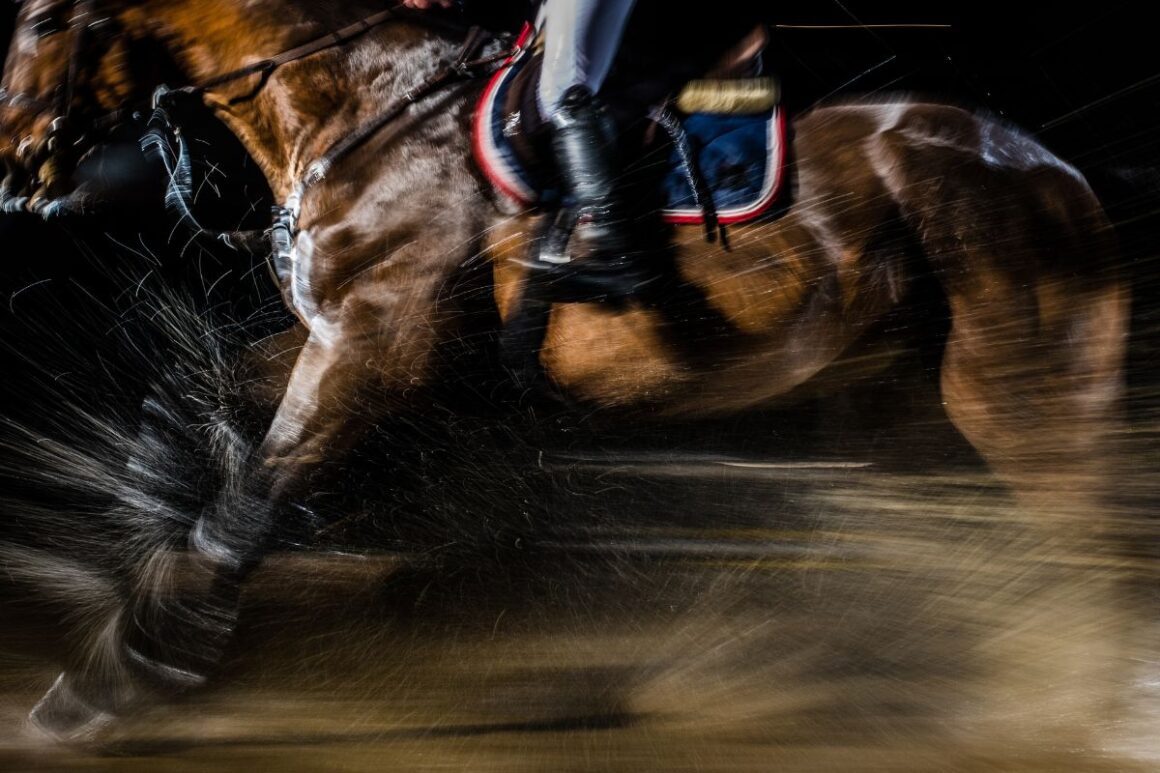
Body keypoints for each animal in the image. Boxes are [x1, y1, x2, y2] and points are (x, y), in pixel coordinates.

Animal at [0, 0, 1127, 738]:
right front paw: (141, 558)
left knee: (1087, 533)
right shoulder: (345, 337)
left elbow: (255, 497)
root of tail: (1052, 170)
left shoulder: (373, 344)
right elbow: (193, 409)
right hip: (890, 396)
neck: (361, 111)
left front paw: (124, 675)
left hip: (1013, 390)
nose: (17, 166)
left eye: (48, 18)